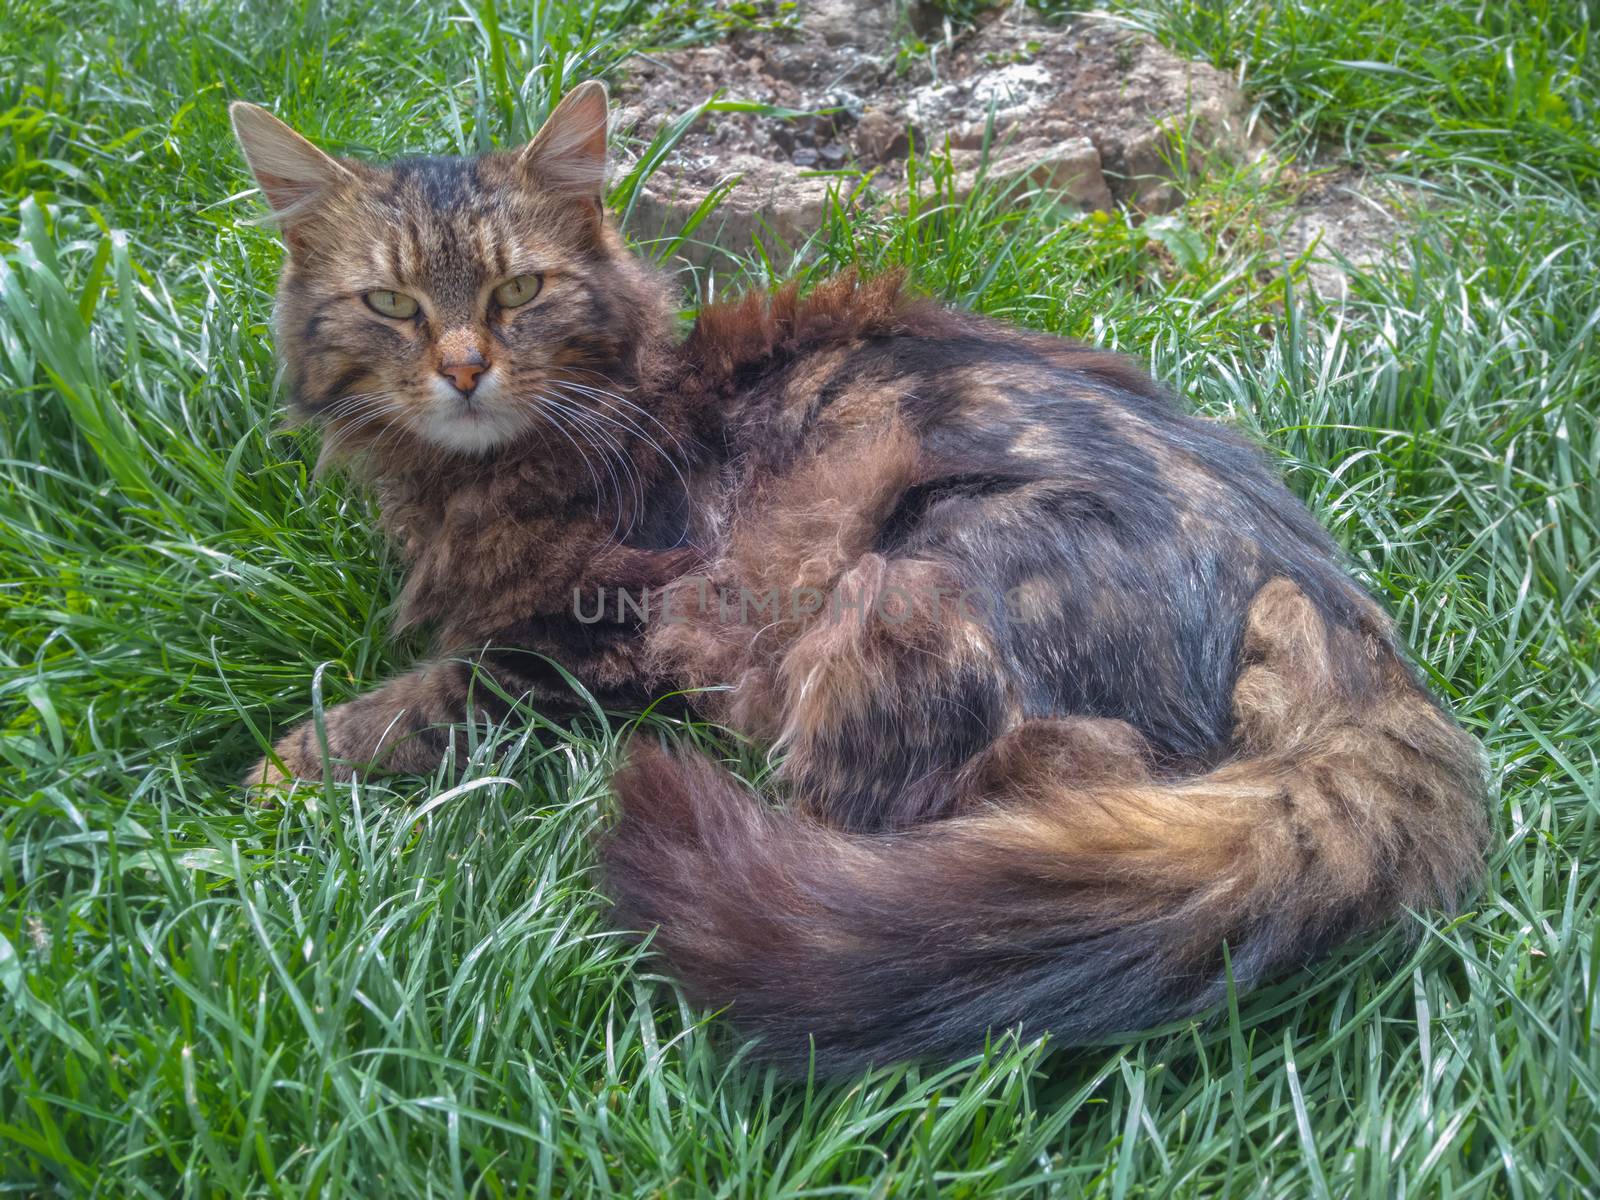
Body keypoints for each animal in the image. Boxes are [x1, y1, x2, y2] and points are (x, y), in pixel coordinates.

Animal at [228, 86, 1484, 1081]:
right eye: (392, 305)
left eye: (519, 292)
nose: (462, 370)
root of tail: (1337, 619)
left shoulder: (596, 637)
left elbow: (422, 698)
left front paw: (276, 771)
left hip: (899, 590)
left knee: (1012, 797)